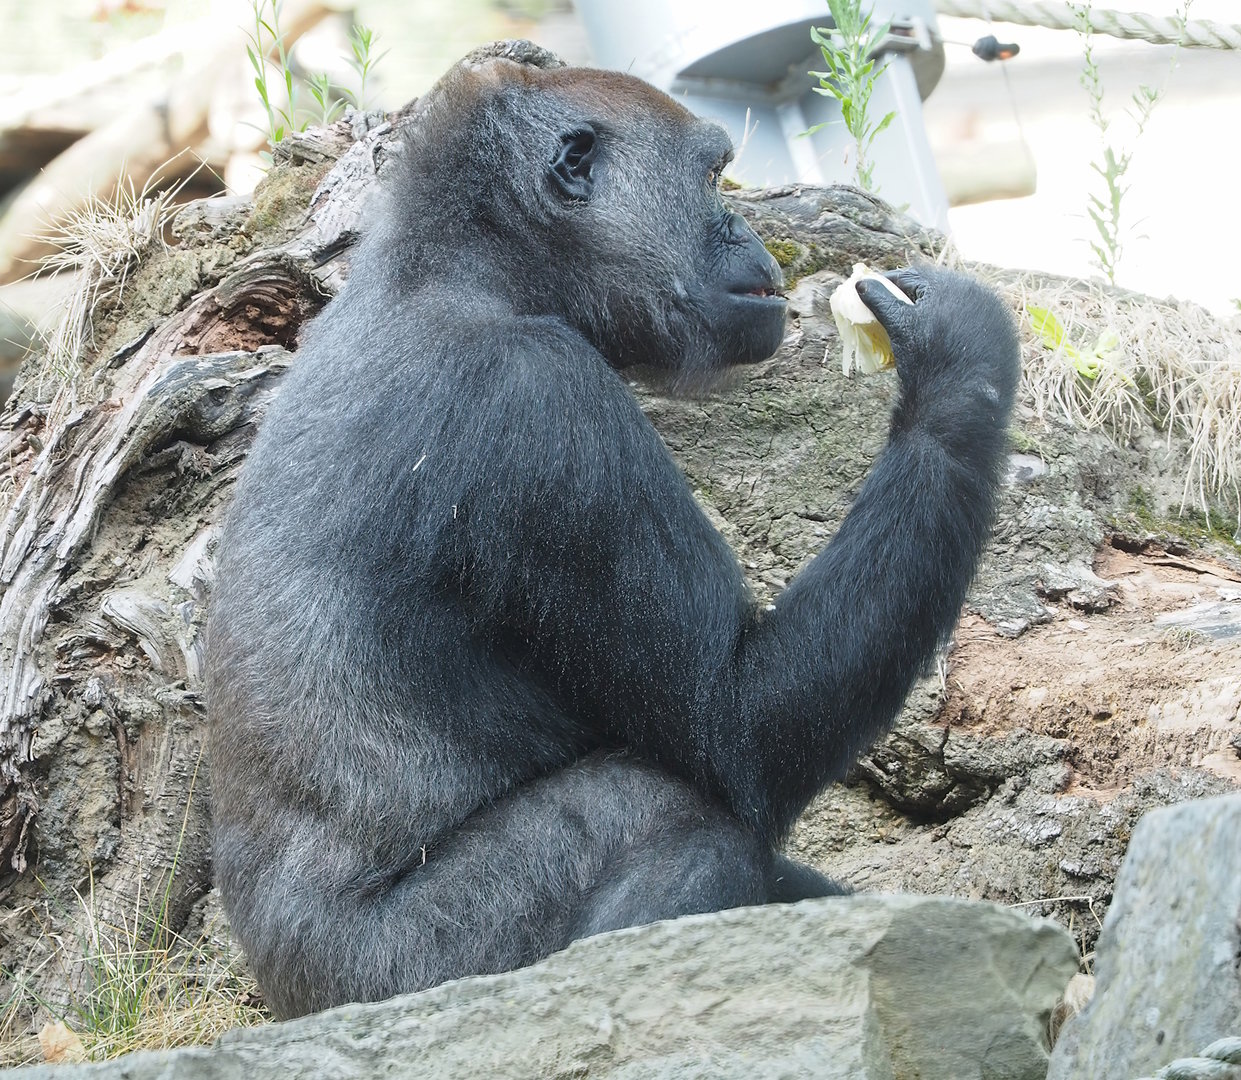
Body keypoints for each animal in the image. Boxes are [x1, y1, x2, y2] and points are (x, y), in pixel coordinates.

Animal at [206, 41, 1020, 1019]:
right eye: (710, 176)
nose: (746, 231)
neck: (463, 270)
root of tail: (278, 998)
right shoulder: (544, 400)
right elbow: (735, 729)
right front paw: (959, 365)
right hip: (397, 985)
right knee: (667, 816)